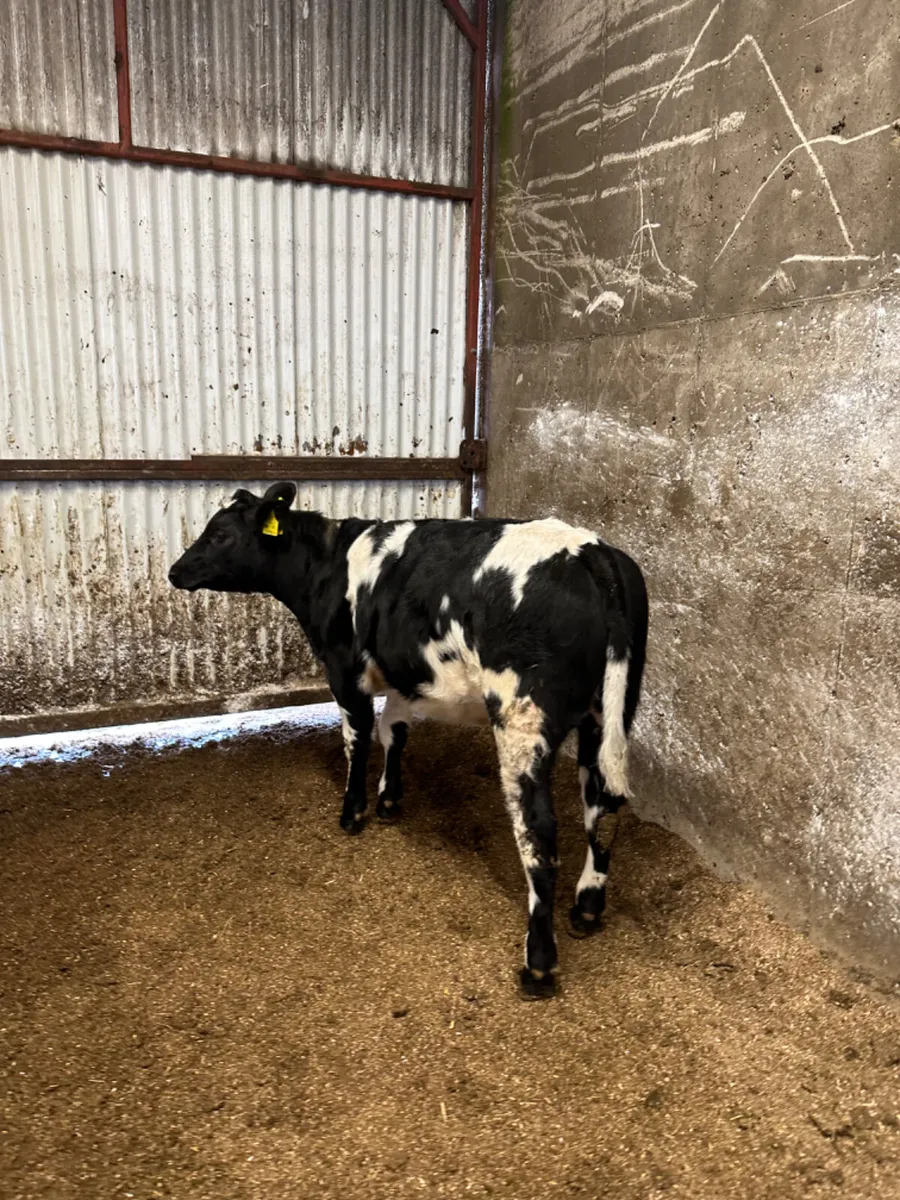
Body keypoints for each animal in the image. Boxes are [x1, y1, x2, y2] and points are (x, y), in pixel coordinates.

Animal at [168, 482, 648, 998]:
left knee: (538, 834)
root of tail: (589, 549)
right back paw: (587, 908)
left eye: (219, 533)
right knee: (602, 807)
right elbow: (393, 730)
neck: (326, 563)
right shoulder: (402, 675)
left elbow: (357, 737)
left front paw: (353, 812)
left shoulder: (345, 669)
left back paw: (538, 964)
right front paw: (389, 799)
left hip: (522, 719)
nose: (175, 571)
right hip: (608, 715)